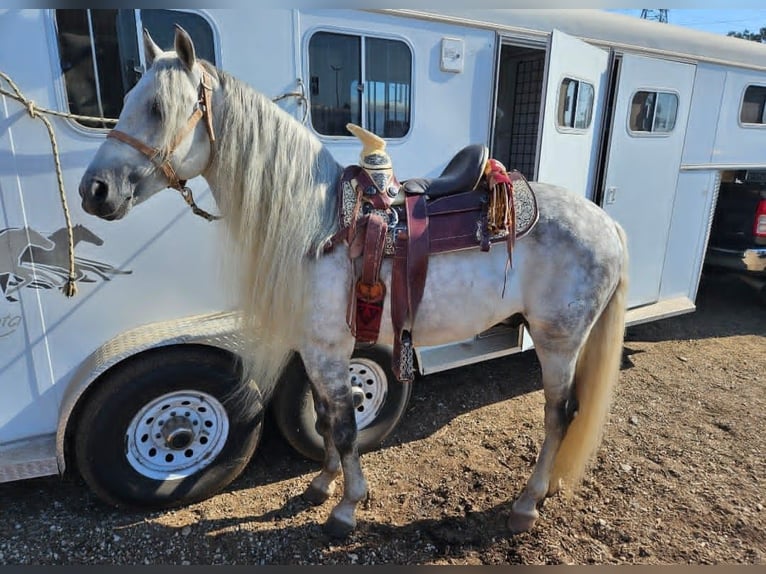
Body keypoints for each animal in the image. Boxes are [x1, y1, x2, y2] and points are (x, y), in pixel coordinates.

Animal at [79, 26, 628, 538]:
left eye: (157, 107)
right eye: (125, 101)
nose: (94, 190)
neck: (317, 224)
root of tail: (606, 224)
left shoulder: (328, 349)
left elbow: (344, 427)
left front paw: (346, 506)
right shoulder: (311, 348)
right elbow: (325, 419)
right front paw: (322, 484)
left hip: (557, 339)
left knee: (560, 412)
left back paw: (527, 503)